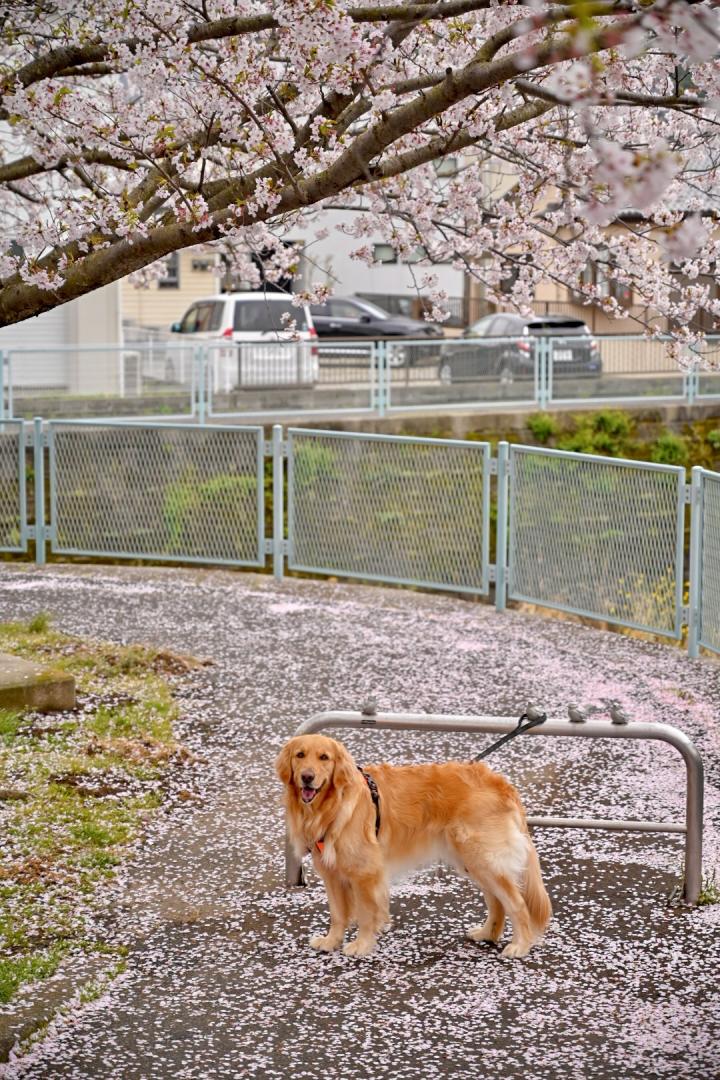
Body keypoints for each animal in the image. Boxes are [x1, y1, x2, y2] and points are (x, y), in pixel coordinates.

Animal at [276, 734, 552, 963]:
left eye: (324, 757)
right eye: (300, 755)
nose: (307, 777)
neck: (331, 806)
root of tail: (500, 782)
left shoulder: (366, 873)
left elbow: (365, 914)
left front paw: (362, 945)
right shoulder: (331, 874)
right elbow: (337, 914)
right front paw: (331, 941)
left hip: (483, 857)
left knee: (516, 903)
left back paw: (520, 945)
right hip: (473, 861)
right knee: (497, 901)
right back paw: (487, 933)